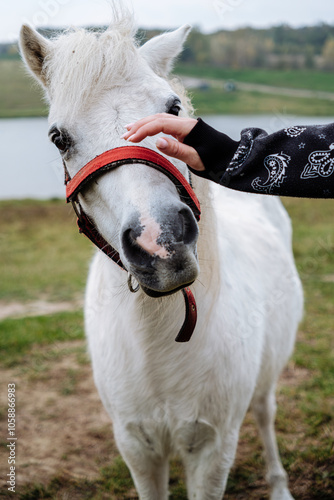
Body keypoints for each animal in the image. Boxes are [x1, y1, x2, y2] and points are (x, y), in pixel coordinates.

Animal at [20, 8, 302, 500]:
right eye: (58, 138)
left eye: (172, 110)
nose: (161, 240)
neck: (157, 343)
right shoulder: (137, 447)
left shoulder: (212, 450)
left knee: (265, 414)